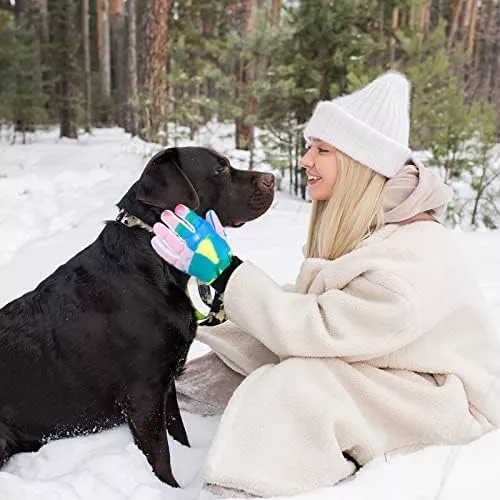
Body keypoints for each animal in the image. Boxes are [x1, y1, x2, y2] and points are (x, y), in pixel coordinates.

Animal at [0, 146, 274, 486]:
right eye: (220, 168)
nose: (272, 178)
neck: (154, 260)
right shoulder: (143, 395)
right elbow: (161, 456)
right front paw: (170, 488)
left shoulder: (165, 384)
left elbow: (178, 432)